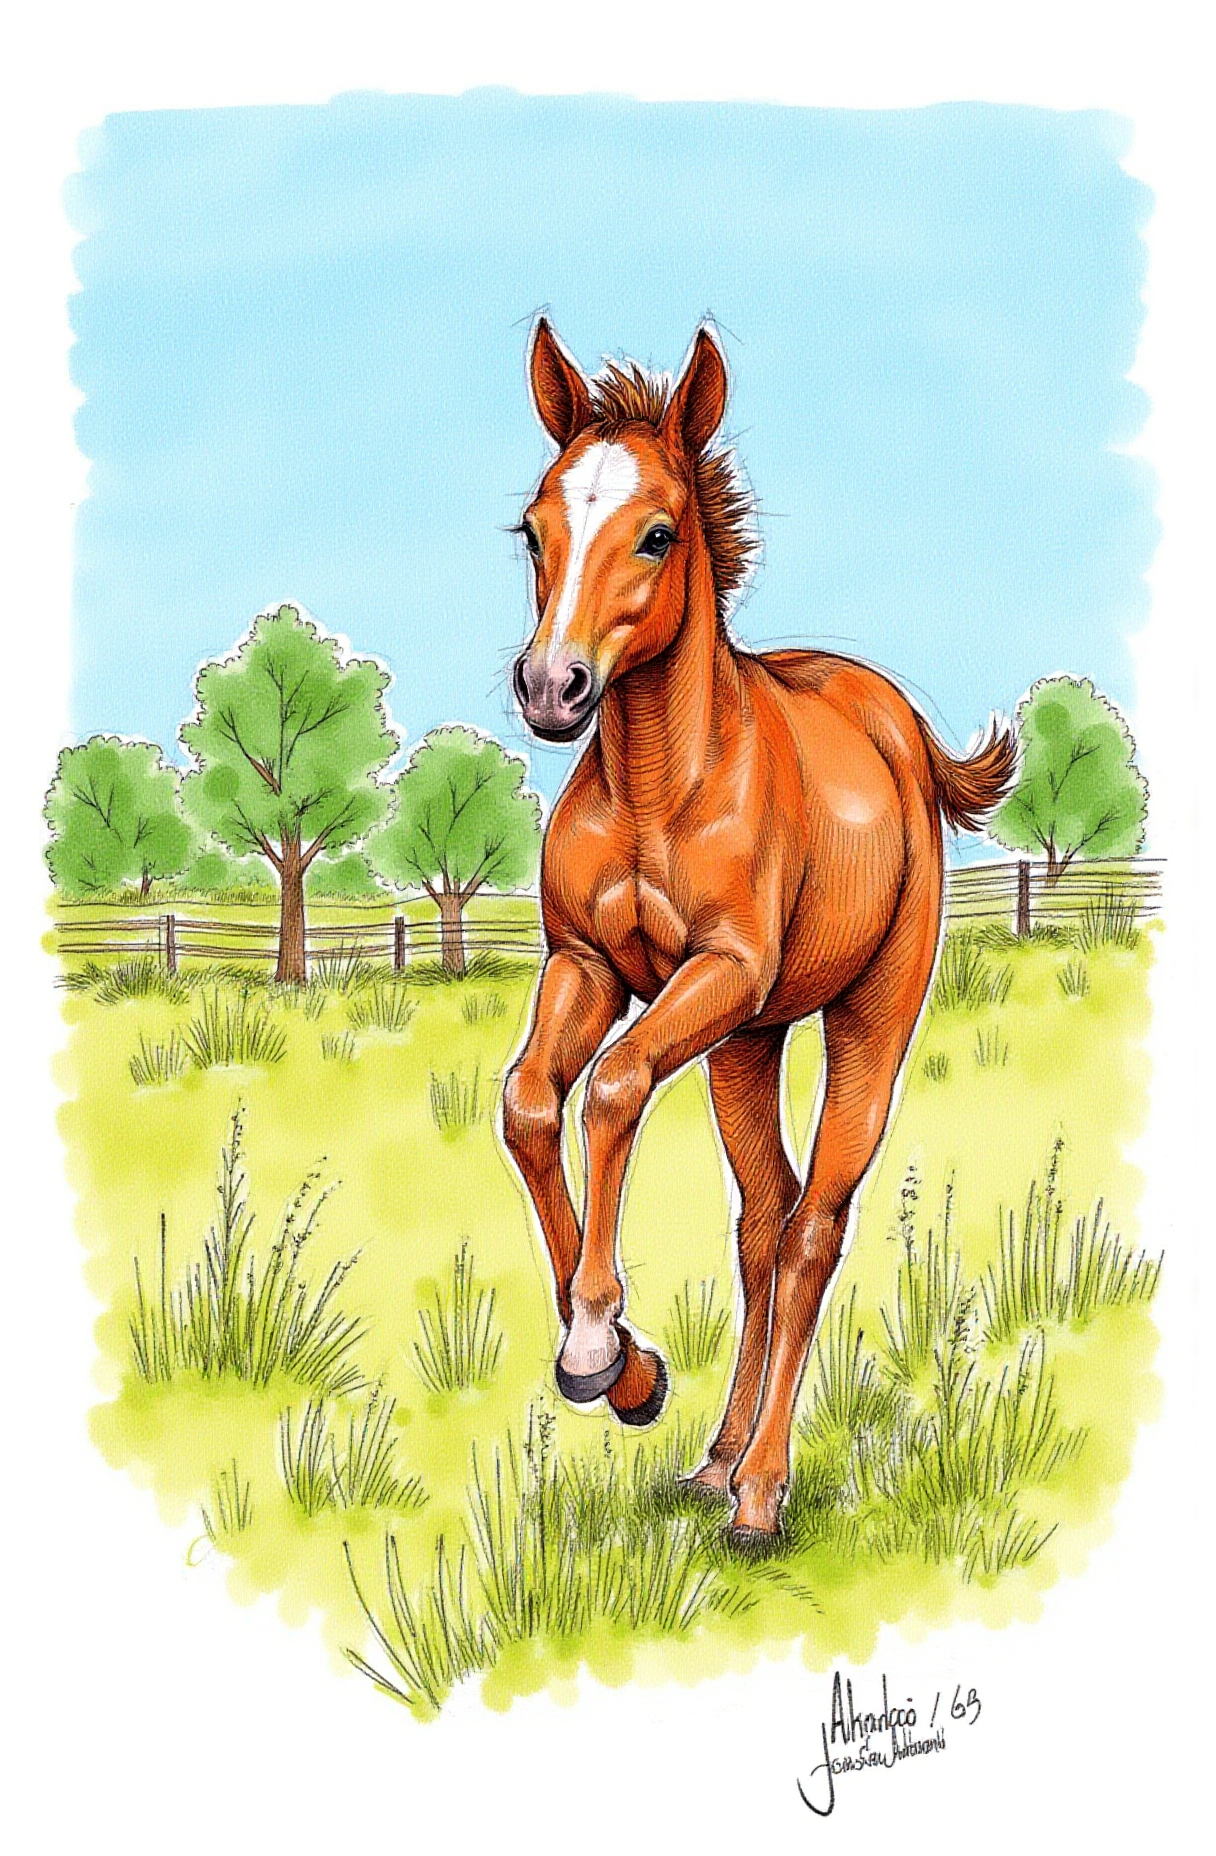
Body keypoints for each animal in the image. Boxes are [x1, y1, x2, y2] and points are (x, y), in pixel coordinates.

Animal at [502, 319, 1016, 1544]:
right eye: (533, 530)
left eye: (656, 533)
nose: (550, 687)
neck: (661, 784)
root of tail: (898, 723)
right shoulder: (588, 968)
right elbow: (531, 1101)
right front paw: (629, 1372)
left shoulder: (722, 971)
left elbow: (612, 1086)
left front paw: (596, 1345)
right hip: (746, 1042)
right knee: (764, 1218)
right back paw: (714, 1460)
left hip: (861, 1014)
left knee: (815, 1224)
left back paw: (762, 1492)